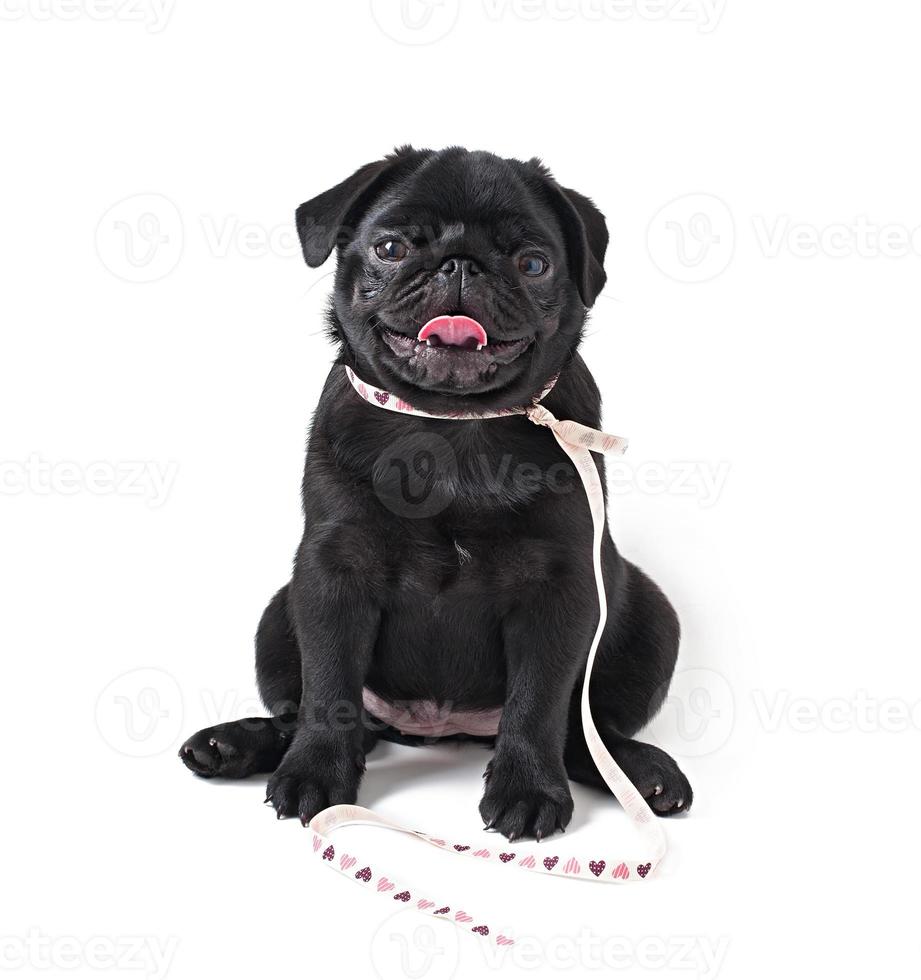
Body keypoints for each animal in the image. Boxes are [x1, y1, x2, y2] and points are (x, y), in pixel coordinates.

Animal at [181, 145, 688, 844]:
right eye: (391, 247)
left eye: (533, 264)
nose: (459, 263)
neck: (450, 428)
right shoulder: (333, 573)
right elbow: (329, 689)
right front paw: (314, 774)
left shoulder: (558, 590)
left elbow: (538, 701)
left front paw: (528, 789)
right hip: (277, 618)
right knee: (315, 714)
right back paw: (235, 746)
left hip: (653, 622)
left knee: (582, 738)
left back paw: (642, 774)